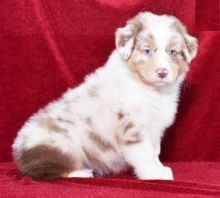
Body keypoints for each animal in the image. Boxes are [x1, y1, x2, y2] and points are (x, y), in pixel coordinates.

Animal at [11, 12, 198, 179]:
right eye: (147, 51)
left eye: (172, 52)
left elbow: (154, 151)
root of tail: (19, 153)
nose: (162, 72)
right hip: (61, 145)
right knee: (44, 170)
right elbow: (145, 153)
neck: (150, 89)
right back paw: (80, 172)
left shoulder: (155, 127)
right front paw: (154, 174)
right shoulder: (132, 127)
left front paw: (160, 169)